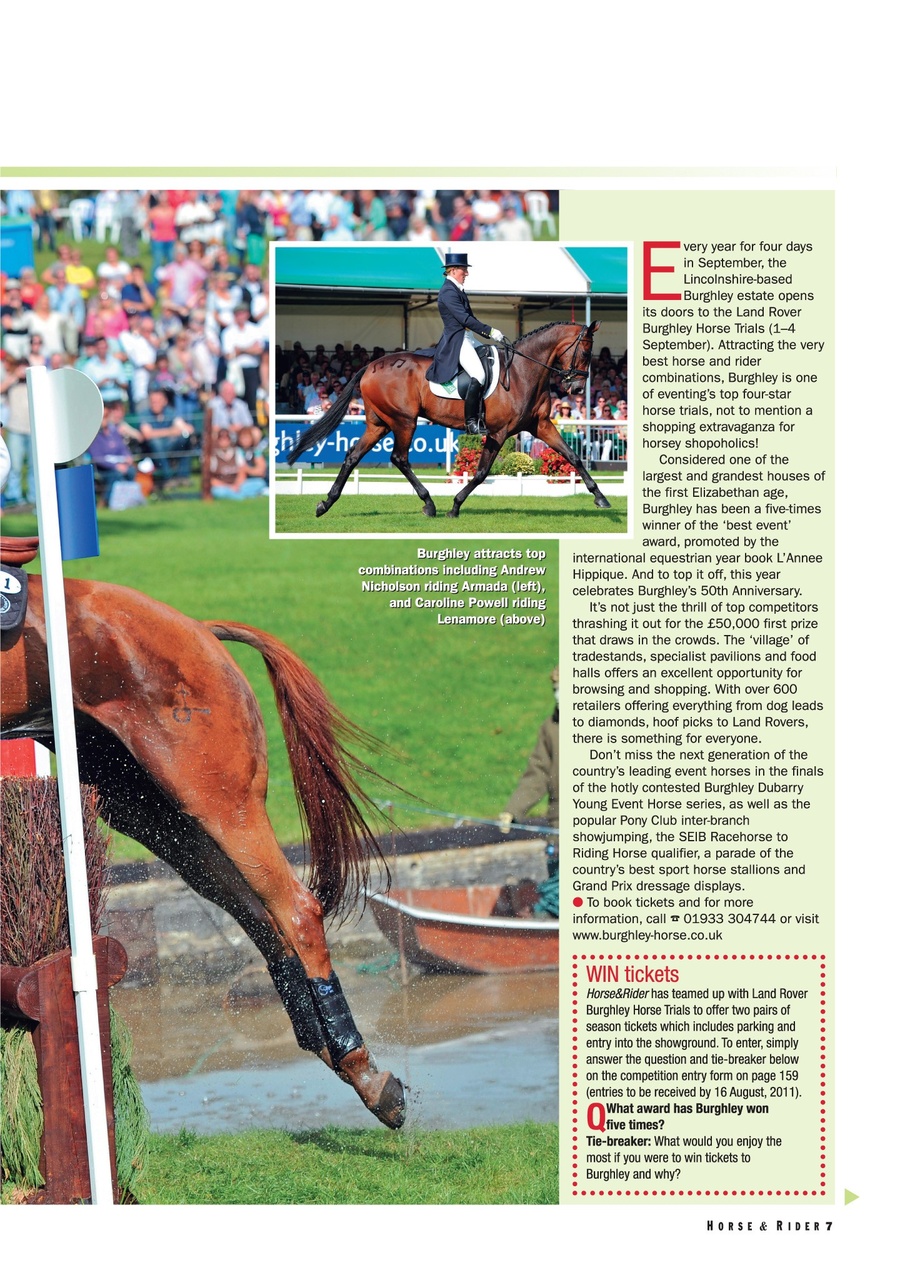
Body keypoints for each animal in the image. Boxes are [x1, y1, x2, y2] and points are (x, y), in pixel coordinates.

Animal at [0, 555, 406, 1130]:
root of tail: (200, 629)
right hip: (149, 807)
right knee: (262, 920)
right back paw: (335, 1054)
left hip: (216, 796)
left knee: (295, 910)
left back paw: (360, 1066)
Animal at [286, 321, 612, 519]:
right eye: (586, 351)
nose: (577, 390)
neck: (522, 371)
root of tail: (370, 366)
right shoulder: (499, 432)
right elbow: (480, 473)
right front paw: (454, 506)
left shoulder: (540, 425)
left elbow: (572, 456)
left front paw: (601, 498)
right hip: (404, 421)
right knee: (399, 458)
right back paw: (429, 504)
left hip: (379, 423)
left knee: (353, 456)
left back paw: (325, 503)